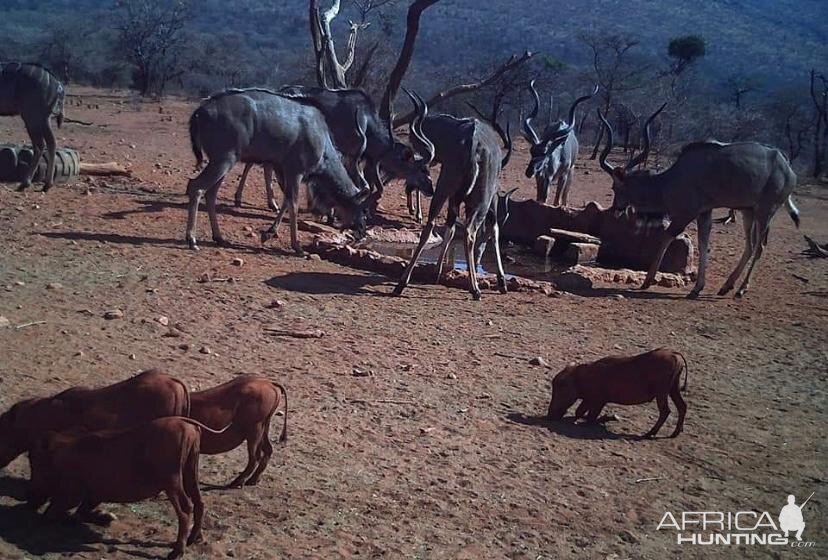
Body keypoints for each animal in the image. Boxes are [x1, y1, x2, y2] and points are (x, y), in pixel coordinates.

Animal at [0, 62, 65, 191]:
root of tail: (57, 83)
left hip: (32, 117)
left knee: (41, 144)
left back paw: (29, 183)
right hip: (44, 118)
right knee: (50, 143)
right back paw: (45, 184)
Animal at [189, 88, 370, 253]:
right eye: (360, 206)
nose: (361, 229)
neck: (321, 137)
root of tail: (200, 111)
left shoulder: (282, 171)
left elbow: (286, 201)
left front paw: (268, 233)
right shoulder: (295, 172)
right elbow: (293, 204)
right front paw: (297, 246)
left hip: (223, 164)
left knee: (210, 193)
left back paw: (218, 237)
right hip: (223, 161)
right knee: (196, 187)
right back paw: (192, 239)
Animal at [390, 91, 512, 302]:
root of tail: (474, 144)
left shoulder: (452, 199)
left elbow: (450, 228)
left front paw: (438, 271)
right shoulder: (491, 202)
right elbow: (494, 229)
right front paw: (502, 281)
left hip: (443, 190)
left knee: (429, 226)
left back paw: (401, 284)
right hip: (480, 202)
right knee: (470, 233)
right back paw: (475, 289)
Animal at [600, 105, 800, 298]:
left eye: (615, 187)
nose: (615, 209)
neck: (669, 180)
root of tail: (787, 166)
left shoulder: (686, 214)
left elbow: (667, 236)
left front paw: (647, 281)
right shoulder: (704, 213)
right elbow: (703, 243)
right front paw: (696, 288)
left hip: (765, 211)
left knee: (760, 246)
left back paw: (741, 289)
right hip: (748, 211)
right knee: (750, 246)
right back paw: (726, 286)